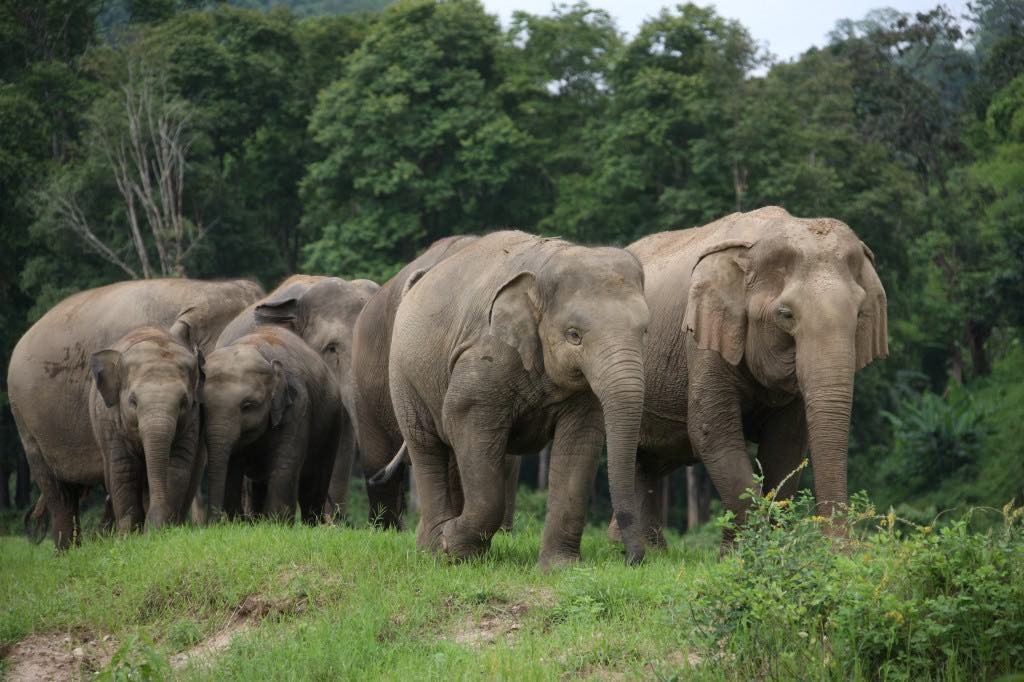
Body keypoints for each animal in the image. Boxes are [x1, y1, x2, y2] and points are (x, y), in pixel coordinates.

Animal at [89, 327, 205, 533]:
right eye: (132, 401)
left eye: (183, 402)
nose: (152, 529)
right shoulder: (109, 422)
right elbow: (124, 469)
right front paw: (128, 534)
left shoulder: (192, 419)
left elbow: (176, 467)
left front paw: (162, 529)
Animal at [203, 325, 343, 523]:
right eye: (202, 406)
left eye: (248, 406)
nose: (211, 524)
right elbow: (231, 466)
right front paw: (239, 523)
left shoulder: (298, 406)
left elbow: (284, 465)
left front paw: (277, 523)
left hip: (331, 426)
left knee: (314, 485)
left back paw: (311, 523)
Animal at [389, 230, 650, 566]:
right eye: (574, 335)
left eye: (645, 331)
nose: (631, 559)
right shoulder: (486, 357)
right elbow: (462, 416)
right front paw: (452, 546)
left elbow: (580, 442)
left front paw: (559, 567)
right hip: (403, 375)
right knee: (426, 445)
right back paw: (436, 548)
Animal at [616, 206, 888, 547]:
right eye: (786, 315)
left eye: (860, 315)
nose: (840, 549)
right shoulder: (703, 341)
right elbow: (711, 431)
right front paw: (745, 551)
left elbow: (786, 445)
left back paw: (653, 552)